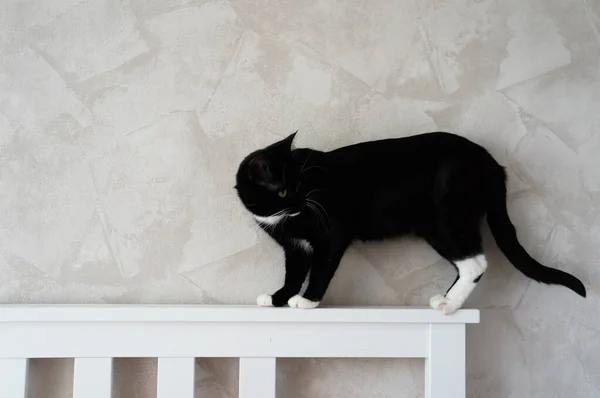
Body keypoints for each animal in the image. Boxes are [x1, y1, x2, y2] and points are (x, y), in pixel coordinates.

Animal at [234, 132, 584, 312]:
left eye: (301, 186)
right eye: (284, 190)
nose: (304, 202)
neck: (283, 217)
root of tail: (493, 164)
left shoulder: (331, 235)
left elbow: (320, 269)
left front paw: (306, 301)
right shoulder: (294, 248)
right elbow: (294, 273)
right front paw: (277, 297)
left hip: (446, 216)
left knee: (476, 262)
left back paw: (449, 306)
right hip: (438, 226)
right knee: (468, 261)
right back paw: (446, 299)